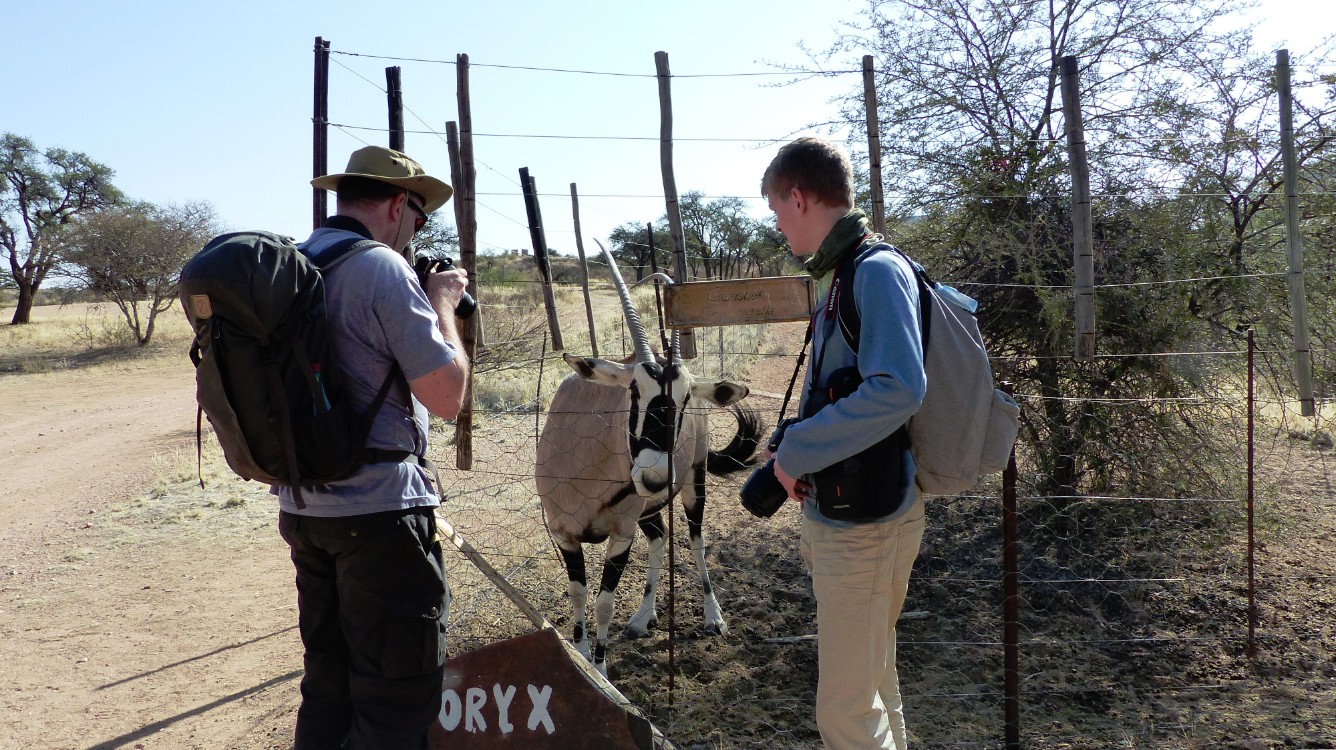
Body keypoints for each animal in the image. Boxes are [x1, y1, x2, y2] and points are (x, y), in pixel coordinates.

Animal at [534, 239, 764, 673]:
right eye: (633, 390)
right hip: (650, 508)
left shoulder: (621, 534)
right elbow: (579, 595)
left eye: (685, 397)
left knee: (695, 540)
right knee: (659, 537)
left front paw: (600, 669)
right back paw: (643, 617)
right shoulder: (564, 533)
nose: (656, 477)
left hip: (693, 484)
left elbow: (604, 604)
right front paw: (582, 657)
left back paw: (713, 616)